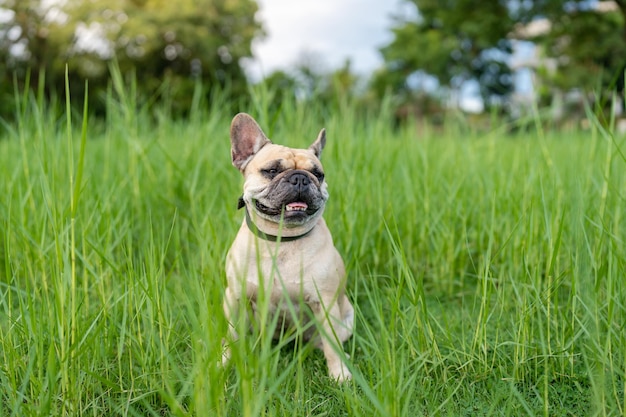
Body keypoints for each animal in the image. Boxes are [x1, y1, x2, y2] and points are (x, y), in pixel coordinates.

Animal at [222, 113, 354, 380]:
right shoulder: (234, 298)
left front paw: (340, 375)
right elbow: (232, 335)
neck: (281, 240)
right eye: (272, 170)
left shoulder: (325, 304)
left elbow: (332, 346)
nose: (300, 178)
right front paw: (224, 363)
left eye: (318, 174)